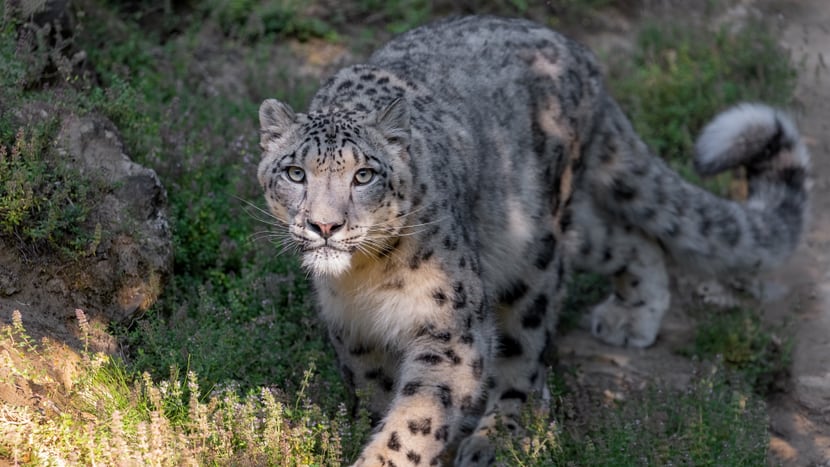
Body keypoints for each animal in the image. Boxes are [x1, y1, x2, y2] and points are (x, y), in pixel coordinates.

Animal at [255, 15, 812, 467]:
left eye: (364, 175)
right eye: (296, 173)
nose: (324, 226)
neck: (363, 279)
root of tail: (580, 55)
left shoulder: (451, 329)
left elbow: (416, 419)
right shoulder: (354, 333)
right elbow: (379, 396)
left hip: (531, 254)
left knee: (526, 354)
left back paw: (499, 438)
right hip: (560, 232)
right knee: (630, 238)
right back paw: (633, 315)